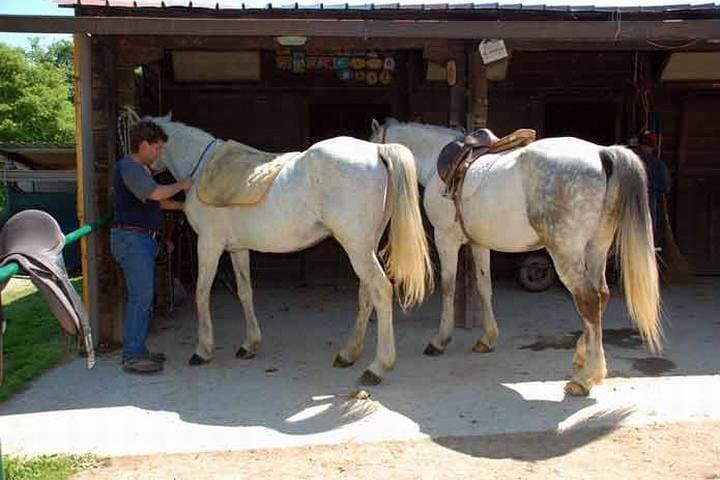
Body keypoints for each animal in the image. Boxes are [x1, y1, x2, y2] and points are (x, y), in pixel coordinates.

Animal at [150, 114, 433, 384]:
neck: (202, 168)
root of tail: (377, 151)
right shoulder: (237, 249)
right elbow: (245, 293)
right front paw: (249, 345)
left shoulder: (209, 244)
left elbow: (201, 293)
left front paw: (202, 350)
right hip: (366, 247)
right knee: (366, 294)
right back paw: (348, 354)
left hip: (357, 249)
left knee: (382, 291)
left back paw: (377, 368)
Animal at [370, 118, 661, 396]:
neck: (435, 162)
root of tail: (602, 153)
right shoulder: (479, 243)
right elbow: (483, 286)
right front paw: (487, 339)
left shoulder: (446, 238)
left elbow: (449, 287)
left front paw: (440, 340)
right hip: (596, 249)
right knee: (601, 295)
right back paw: (582, 358)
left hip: (566, 254)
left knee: (588, 300)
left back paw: (585, 377)